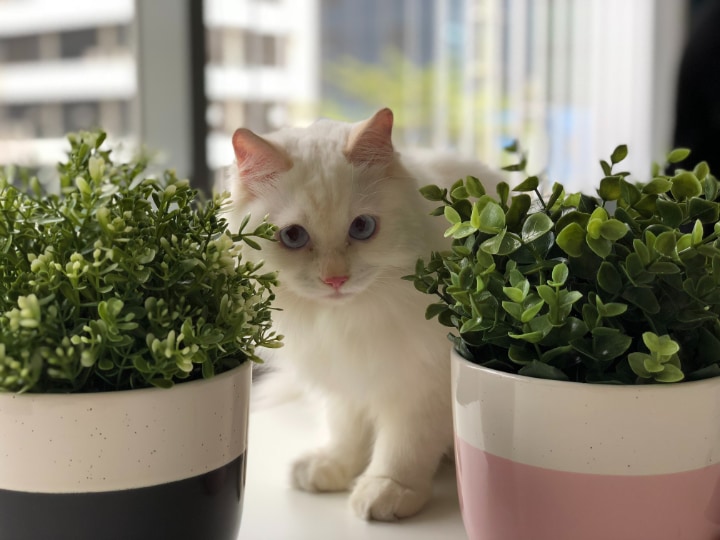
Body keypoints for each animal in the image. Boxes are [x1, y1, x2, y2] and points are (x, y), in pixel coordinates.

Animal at [228, 107, 504, 520]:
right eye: (293, 237)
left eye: (362, 227)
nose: (335, 279)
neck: (345, 322)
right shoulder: (345, 381)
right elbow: (346, 433)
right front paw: (334, 468)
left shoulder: (421, 385)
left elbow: (402, 448)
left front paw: (386, 490)